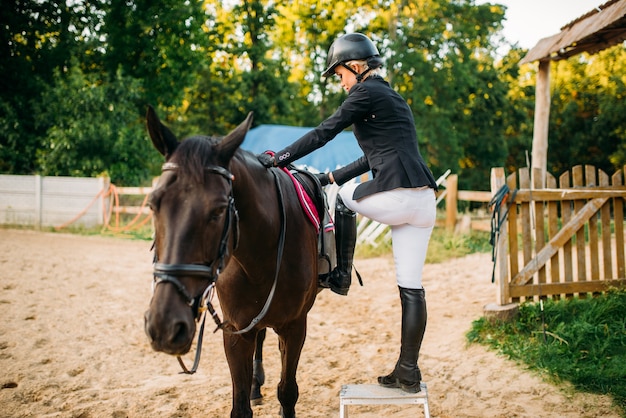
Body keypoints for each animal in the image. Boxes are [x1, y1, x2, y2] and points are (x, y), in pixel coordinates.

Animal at [141, 106, 316, 416]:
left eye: (219, 211)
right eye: (153, 204)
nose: (164, 325)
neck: (260, 256)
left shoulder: (295, 327)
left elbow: (287, 392)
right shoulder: (235, 331)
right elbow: (240, 405)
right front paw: (252, 389)